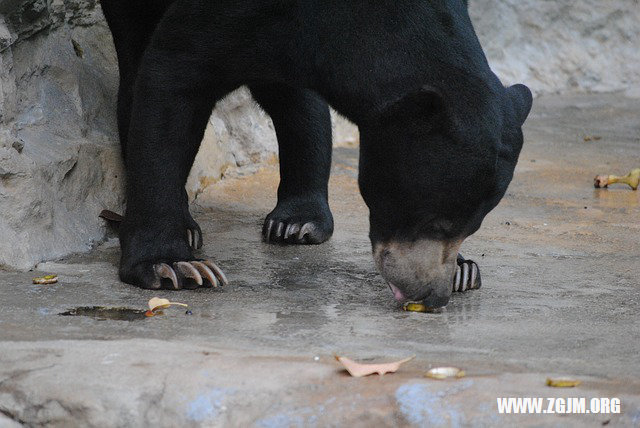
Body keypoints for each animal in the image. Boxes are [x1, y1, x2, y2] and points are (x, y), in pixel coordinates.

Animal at [101, 0, 528, 308]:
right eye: (435, 220)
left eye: (473, 226)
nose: (432, 295)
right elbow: (172, 75)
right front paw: (176, 267)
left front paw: (463, 269)